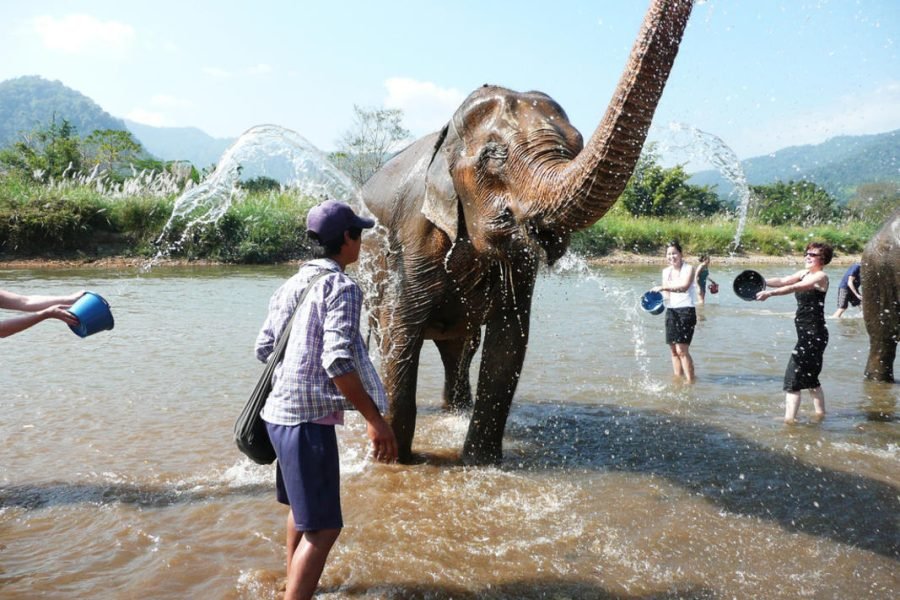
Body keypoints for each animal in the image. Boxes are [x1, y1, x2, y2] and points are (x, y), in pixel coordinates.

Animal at [360, 0, 694, 465]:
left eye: (576, 145)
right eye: (494, 154)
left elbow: (509, 342)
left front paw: (480, 465)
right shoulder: (411, 242)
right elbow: (400, 335)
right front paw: (392, 463)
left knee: (461, 350)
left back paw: (454, 411)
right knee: (385, 335)